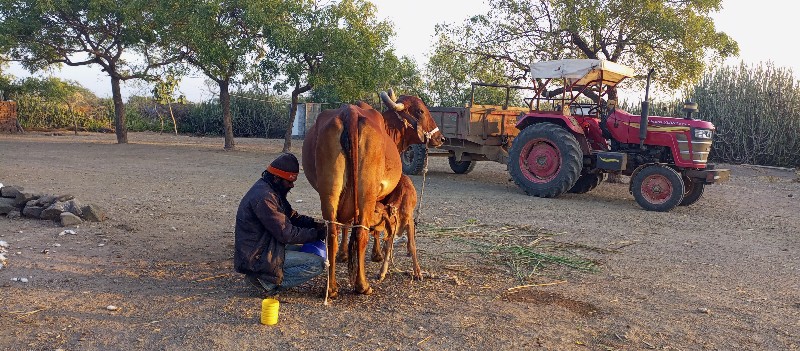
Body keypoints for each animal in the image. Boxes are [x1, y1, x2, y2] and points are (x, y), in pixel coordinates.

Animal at [302, 90, 444, 296]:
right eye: (420, 111)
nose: (440, 138)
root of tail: (350, 112)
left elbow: (347, 224)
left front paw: (344, 254)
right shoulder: (379, 196)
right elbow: (375, 229)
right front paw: (376, 254)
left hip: (330, 192)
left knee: (332, 233)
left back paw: (332, 286)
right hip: (366, 192)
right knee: (362, 233)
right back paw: (362, 285)